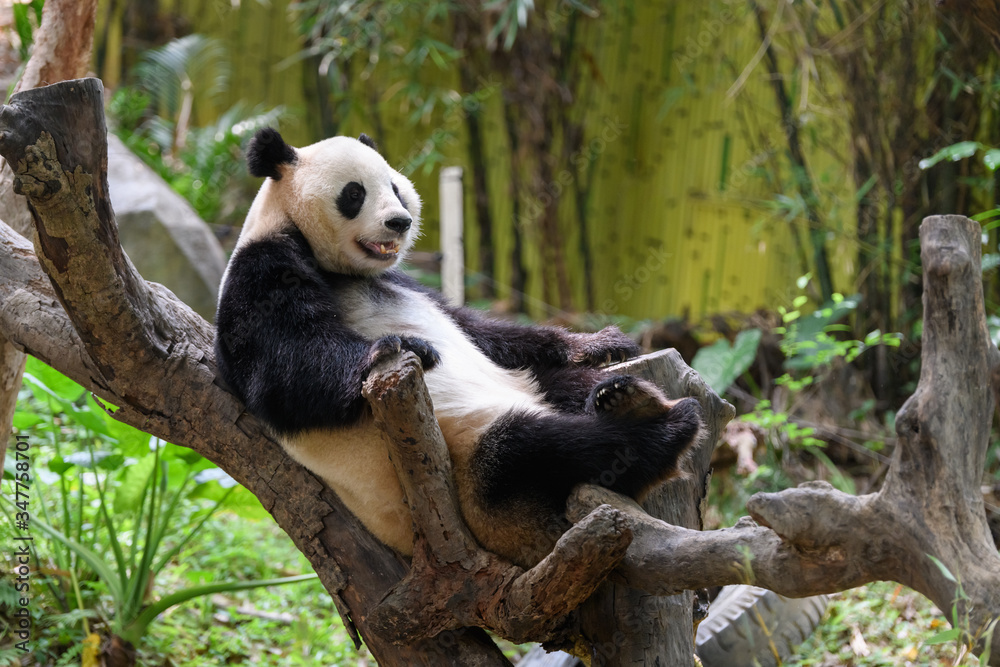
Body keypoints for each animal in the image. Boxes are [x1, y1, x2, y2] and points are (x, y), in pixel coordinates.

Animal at [214, 127, 703, 568]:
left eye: (394, 186)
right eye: (354, 193)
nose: (400, 221)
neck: (337, 267)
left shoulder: (407, 282)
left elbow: (479, 329)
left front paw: (600, 342)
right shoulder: (260, 272)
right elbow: (286, 374)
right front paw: (400, 344)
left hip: (525, 391)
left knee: (561, 385)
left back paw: (622, 396)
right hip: (471, 466)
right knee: (538, 448)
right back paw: (665, 430)